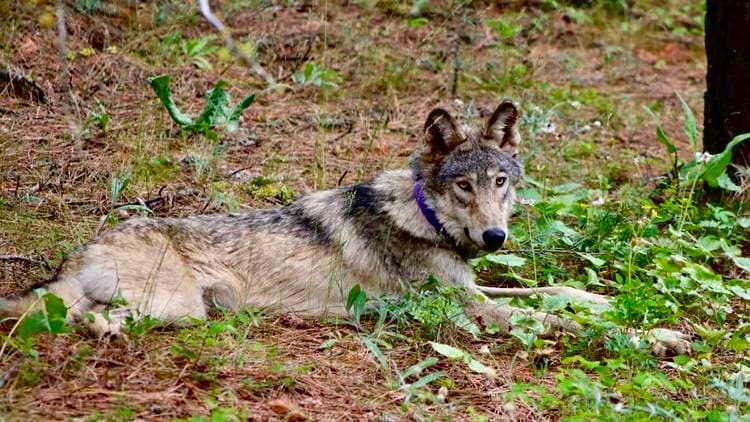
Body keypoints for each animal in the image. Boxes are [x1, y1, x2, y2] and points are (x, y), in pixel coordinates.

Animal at [0, 101, 689, 355]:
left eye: (501, 182)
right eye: (463, 186)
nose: (495, 238)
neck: (423, 216)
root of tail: (84, 246)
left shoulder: (471, 288)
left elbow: (554, 292)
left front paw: (608, 302)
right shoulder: (469, 311)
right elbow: (551, 318)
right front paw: (659, 338)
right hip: (179, 309)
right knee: (82, 319)